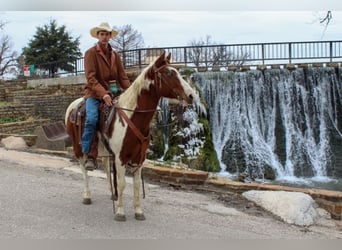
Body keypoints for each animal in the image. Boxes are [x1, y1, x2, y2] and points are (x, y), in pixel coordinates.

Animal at [65, 50, 196, 221]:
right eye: (169, 73)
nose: (192, 95)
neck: (131, 117)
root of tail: (73, 105)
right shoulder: (121, 157)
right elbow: (122, 183)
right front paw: (120, 212)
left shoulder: (139, 158)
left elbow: (137, 185)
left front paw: (138, 211)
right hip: (78, 147)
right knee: (83, 169)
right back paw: (87, 195)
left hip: (104, 149)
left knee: (106, 167)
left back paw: (112, 194)